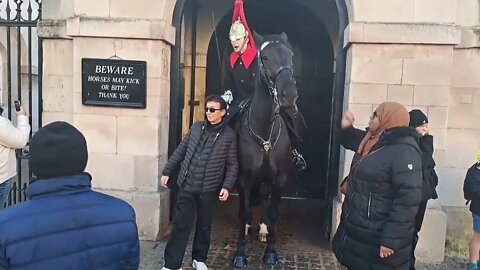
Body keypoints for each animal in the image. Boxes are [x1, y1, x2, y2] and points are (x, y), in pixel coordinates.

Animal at [233, 32, 300, 268]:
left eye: (291, 55)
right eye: (265, 57)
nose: (289, 95)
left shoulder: (280, 178)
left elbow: (273, 211)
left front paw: (271, 251)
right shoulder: (243, 177)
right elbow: (244, 210)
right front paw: (240, 253)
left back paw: (263, 229)